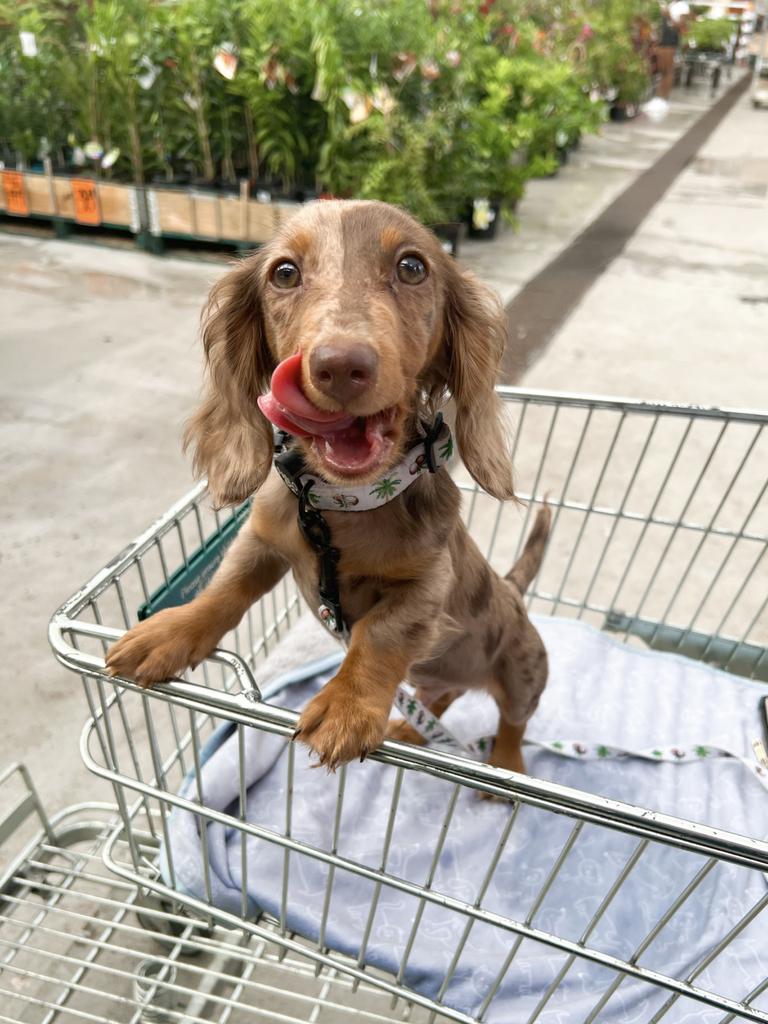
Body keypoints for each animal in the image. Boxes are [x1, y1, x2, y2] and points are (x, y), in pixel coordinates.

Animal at [108, 199, 552, 770]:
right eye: (284, 273)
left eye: (413, 267)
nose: (341, 366)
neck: (340, 507)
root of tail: (514, 592)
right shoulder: (261, 542)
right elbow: (226, 589)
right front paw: (172, 631)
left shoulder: (428, 584)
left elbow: (380, 633)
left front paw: (347, 704)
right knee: (442, 693)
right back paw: (411, 728)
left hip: (523, 673)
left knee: (512, 725)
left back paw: (503, 765)